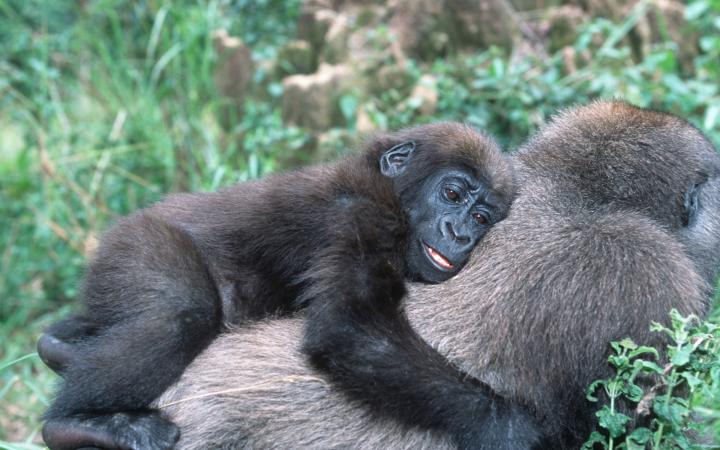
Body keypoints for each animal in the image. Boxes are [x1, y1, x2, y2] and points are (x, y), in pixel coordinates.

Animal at [36, 122, 536, 450]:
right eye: (452, 194)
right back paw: (76, 424)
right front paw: (507, 427)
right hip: (133, 244)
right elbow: (349, 328)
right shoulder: (364, 214)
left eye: (482, 217)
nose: (460, 234)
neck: (389, 189)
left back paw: (62, 349)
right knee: (182, 311)